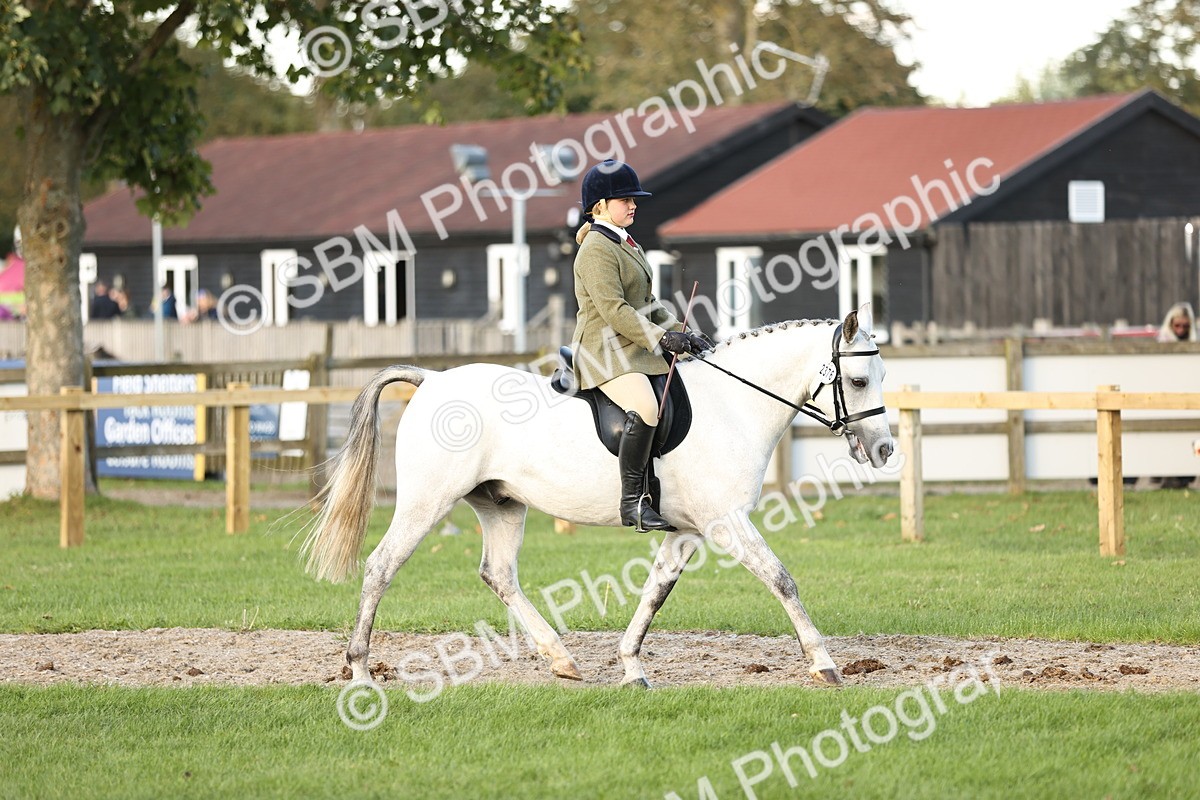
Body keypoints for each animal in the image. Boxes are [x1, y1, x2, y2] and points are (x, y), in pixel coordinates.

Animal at [299, 303, 893, 688]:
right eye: (860, 380)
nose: (885, 449)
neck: (734, 404)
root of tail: (432, 380)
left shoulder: (686, 531)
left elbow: (655, 593)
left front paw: (631, 666)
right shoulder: (726, 522)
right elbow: (781, 579)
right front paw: (823, 664)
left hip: (501, 504)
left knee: (498, 574)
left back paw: (562, 660)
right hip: (428, 501)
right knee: (381, 566)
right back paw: (358, 670)